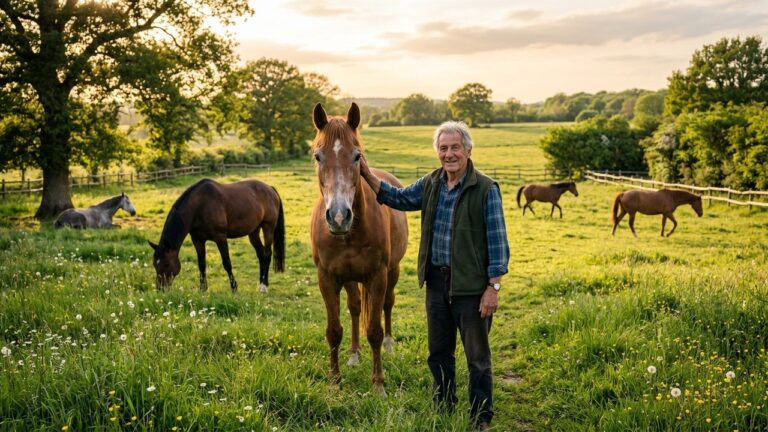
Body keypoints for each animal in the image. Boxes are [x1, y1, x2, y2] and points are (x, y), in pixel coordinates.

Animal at [148, 178, 285, 293]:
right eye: (154, 264)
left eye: (167, 264)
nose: (160, 289)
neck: (200, 206)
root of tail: (270, 189)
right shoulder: (197, 239)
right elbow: (201, 264)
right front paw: (203, 289)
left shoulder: (220, 238)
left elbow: (227, 263)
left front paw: (234, 287)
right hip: (253, 232)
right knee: (261, 254)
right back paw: (261, 282)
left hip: (268, 227)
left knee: (267, 254)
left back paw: (264, 286)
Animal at [309, 102, 408, 394]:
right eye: (318, 156)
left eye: (356, 156)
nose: (339, 216)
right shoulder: (327, 278)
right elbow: (334, 330)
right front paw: (334, 381)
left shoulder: (377, 276)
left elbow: (374, 330)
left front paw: (378, 384)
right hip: (350, 278)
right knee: (354, 308)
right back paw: (354, 353)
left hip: (393, 271)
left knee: (387, 303)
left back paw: (389, 344)